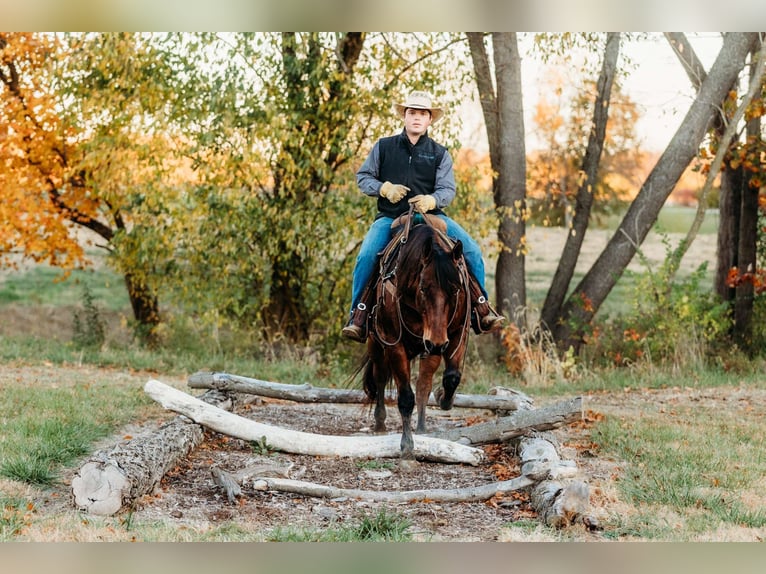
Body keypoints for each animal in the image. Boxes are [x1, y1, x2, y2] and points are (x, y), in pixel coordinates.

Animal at [364, 213, 472, 464]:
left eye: (456, 289)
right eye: (423, 288)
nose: (436, 342)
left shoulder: (456, 334)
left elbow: (451, 377)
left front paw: (444, 398)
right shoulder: (395, 344)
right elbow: (405, 397)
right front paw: (407, 447)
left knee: (424, 383)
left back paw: (422, 426)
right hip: (377, 344)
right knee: (380, 377)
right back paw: (380, 421)